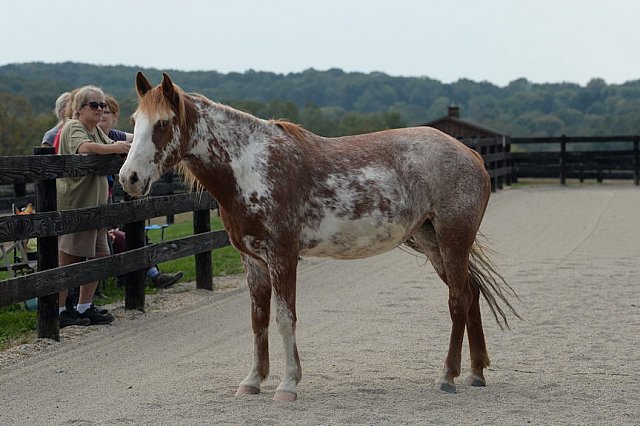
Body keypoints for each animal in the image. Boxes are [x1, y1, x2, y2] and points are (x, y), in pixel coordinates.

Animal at [120, 71, 520, 402]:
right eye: (135, 122)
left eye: (163, 123)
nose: (129, 178)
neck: (251, 169)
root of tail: (471, 154)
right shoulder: (253, 261)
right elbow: (258, 320)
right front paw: (252, 381)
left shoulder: (283, 257)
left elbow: (285, 319)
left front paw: (288, 385)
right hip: (432, 242)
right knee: (470, 294)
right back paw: (475, 373)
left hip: (453, 241)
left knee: (457, 301)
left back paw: (447, 376)